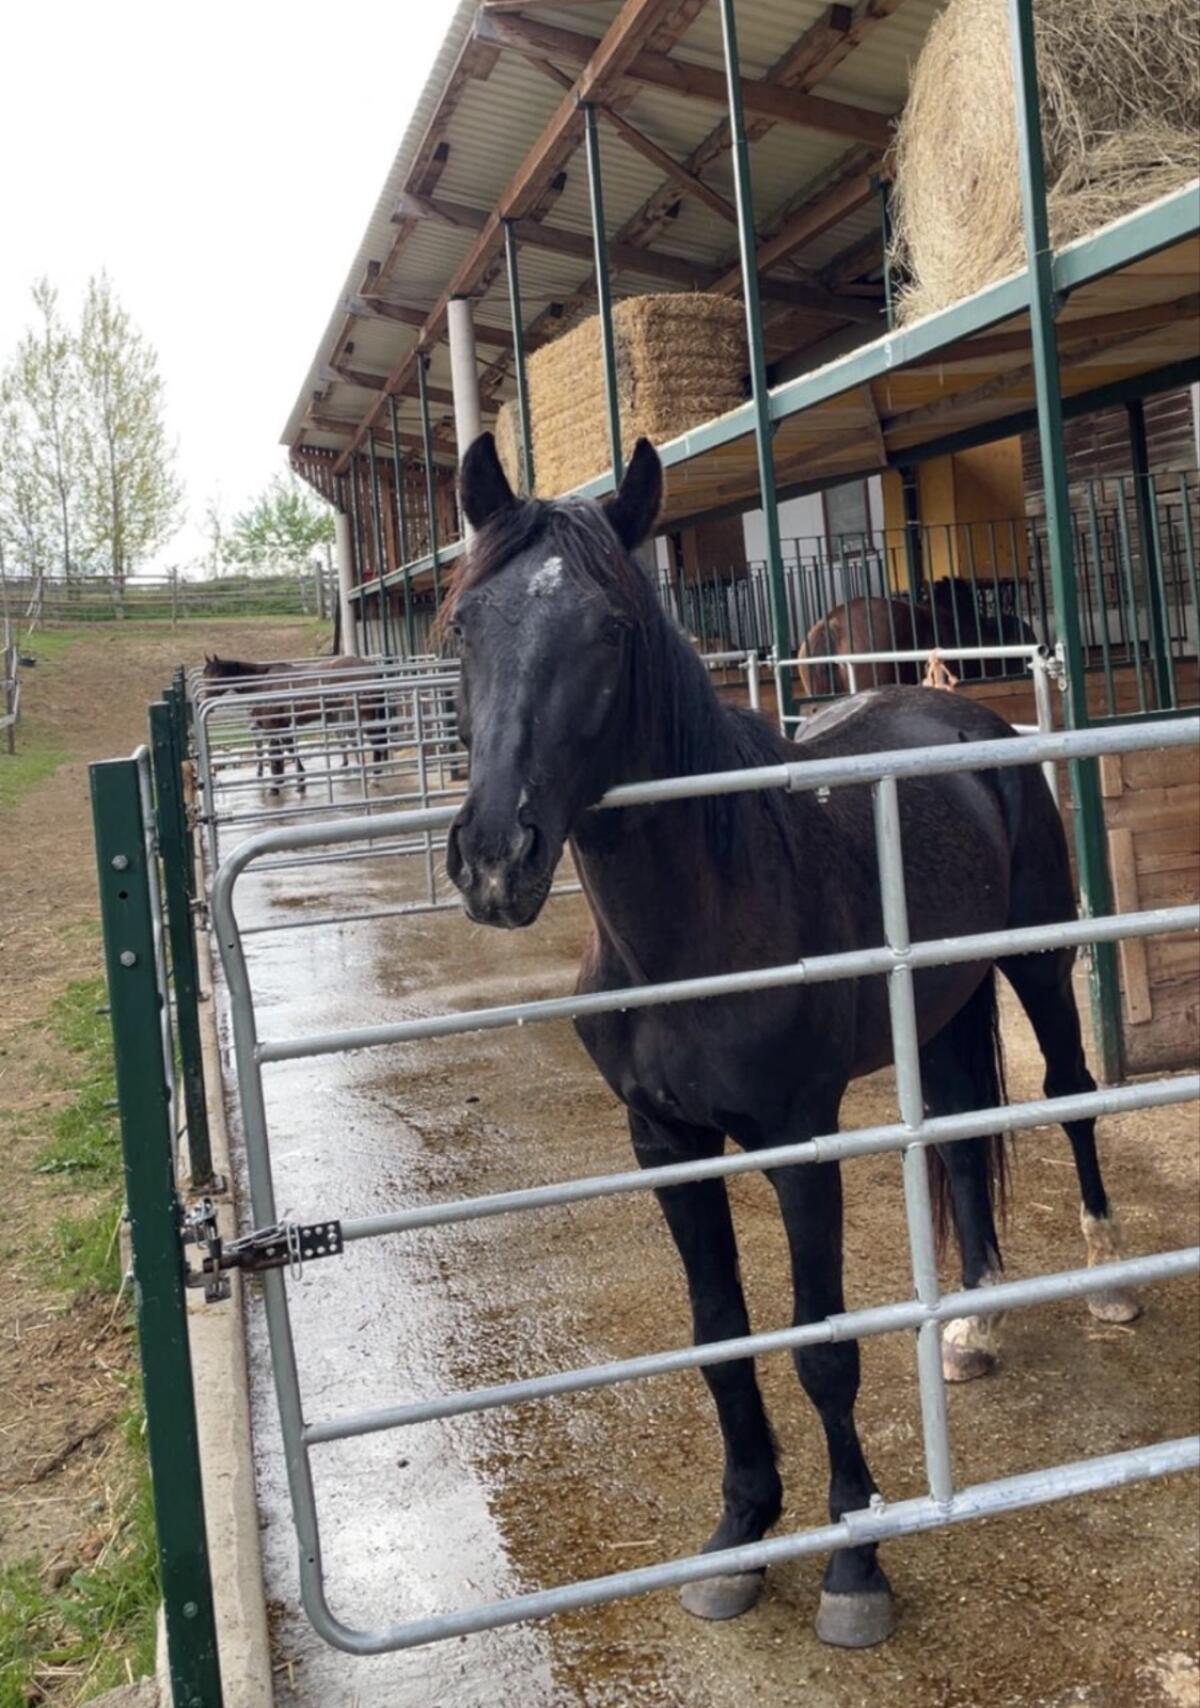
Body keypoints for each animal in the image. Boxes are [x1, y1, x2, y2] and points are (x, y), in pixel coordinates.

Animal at [200, 654, 388, 794]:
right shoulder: (283, 726)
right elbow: (290, 750)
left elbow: (275, 755)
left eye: (217, 676)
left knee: (377, 740)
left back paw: (375, 778)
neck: (263, 684)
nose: (204, 700)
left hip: (365, 714)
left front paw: (275, 788)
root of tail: (371, 667)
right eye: (204, 675)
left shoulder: (272, 727)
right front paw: (299, 782)